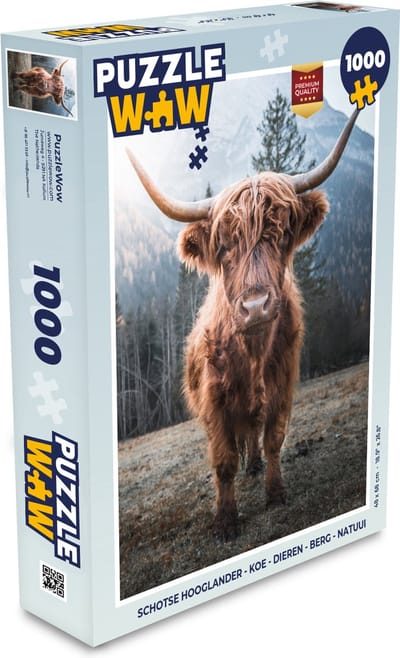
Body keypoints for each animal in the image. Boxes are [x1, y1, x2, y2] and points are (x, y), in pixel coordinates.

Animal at [126, 108, 359, 541]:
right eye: (224, 246)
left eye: (280, 232)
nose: (255, 307)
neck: (251, 353)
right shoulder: (214, 401)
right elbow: (223, 461)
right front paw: (225, 520)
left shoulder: (283, 384)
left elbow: (274, 440)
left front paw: (275, 492)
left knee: (253, 432)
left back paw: (255, 467)